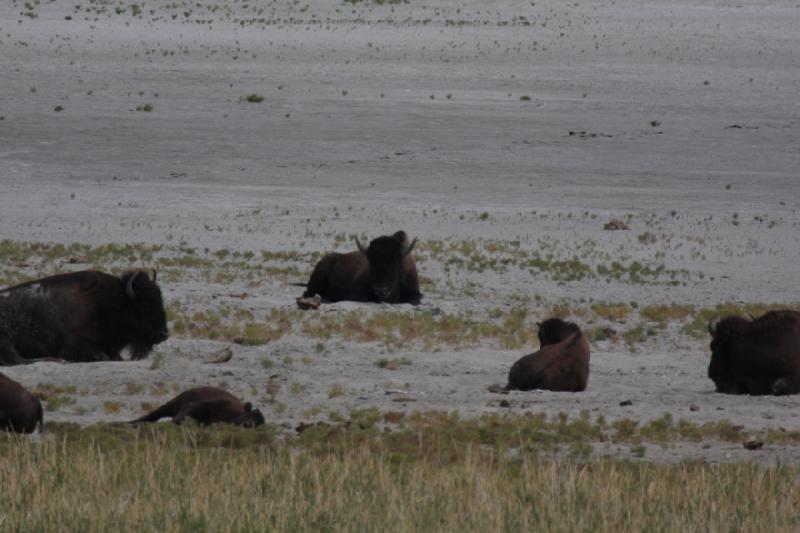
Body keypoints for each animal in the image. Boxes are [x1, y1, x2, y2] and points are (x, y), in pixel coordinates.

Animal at [0, 270, 169, 366]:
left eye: (160, 301)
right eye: (144, 306)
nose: (164, 334)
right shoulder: (74, 347)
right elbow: (102, 356)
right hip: (7, 341)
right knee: (18, 360)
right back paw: (58, 360)